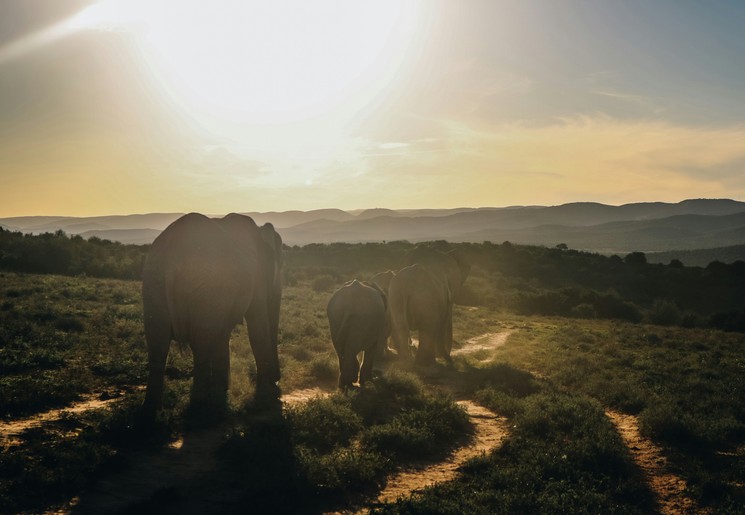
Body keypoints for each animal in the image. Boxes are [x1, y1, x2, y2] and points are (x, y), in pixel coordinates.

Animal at [141, 212, 283, 416]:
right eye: (283, 262)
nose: (279, 381)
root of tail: (171, 258)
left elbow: (223, 334)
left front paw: (223, 392)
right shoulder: (258, 278)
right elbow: (257, 326)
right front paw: (269, 394)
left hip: (154, 282)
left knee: (157, 344)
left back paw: (151, 412)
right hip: (206, 287)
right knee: (200, 345)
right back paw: (199, 407)